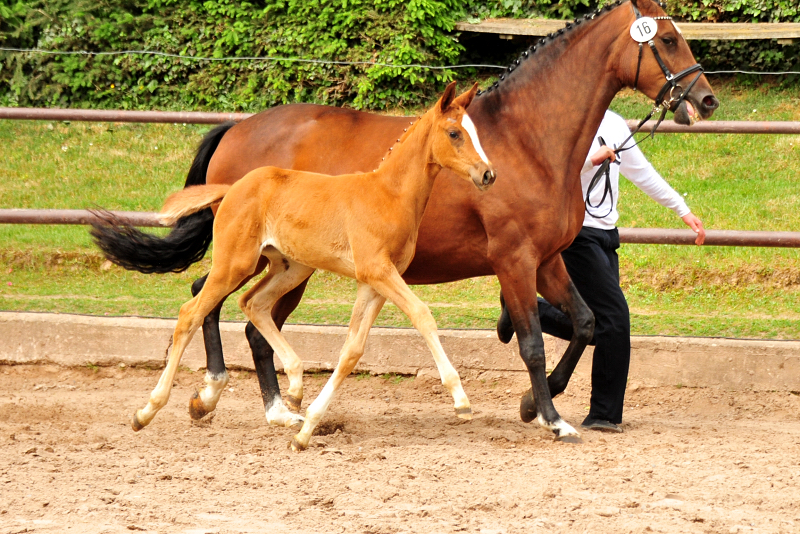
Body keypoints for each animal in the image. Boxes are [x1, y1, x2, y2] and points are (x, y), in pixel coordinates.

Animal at [130, 82, 494, 452]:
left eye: (476, 132)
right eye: (454, 133)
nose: (487, 174)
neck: (389, 195)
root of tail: (232, 188)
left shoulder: (374, 282)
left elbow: (352, 350)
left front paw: (305, 431)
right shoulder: (378, 271)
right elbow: (422, 314)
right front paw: (461, 400)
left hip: (291, 267)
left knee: (253, 303)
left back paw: (292, 390)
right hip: (236, 263)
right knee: (191, 312)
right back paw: (149, 411)